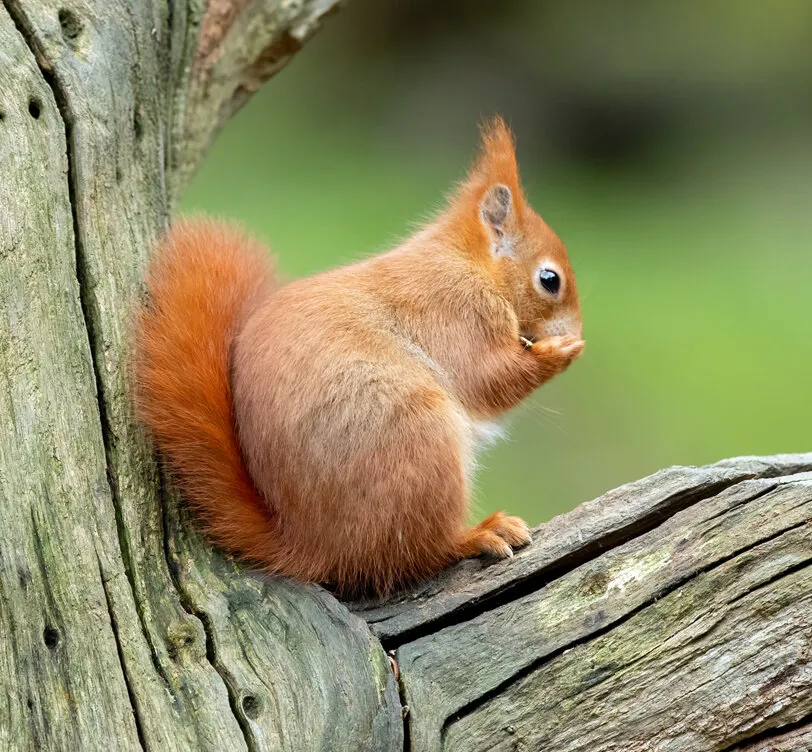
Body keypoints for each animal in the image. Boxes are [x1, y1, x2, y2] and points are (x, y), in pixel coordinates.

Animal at [135, 118, 583, 598]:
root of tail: (311, 546)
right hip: (417, 441)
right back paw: (478, 534)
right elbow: (489, 378)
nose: (575, 332)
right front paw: (559, 352)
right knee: (413, 554)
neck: (469, 263)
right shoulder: (458, 311)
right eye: (550, 280)